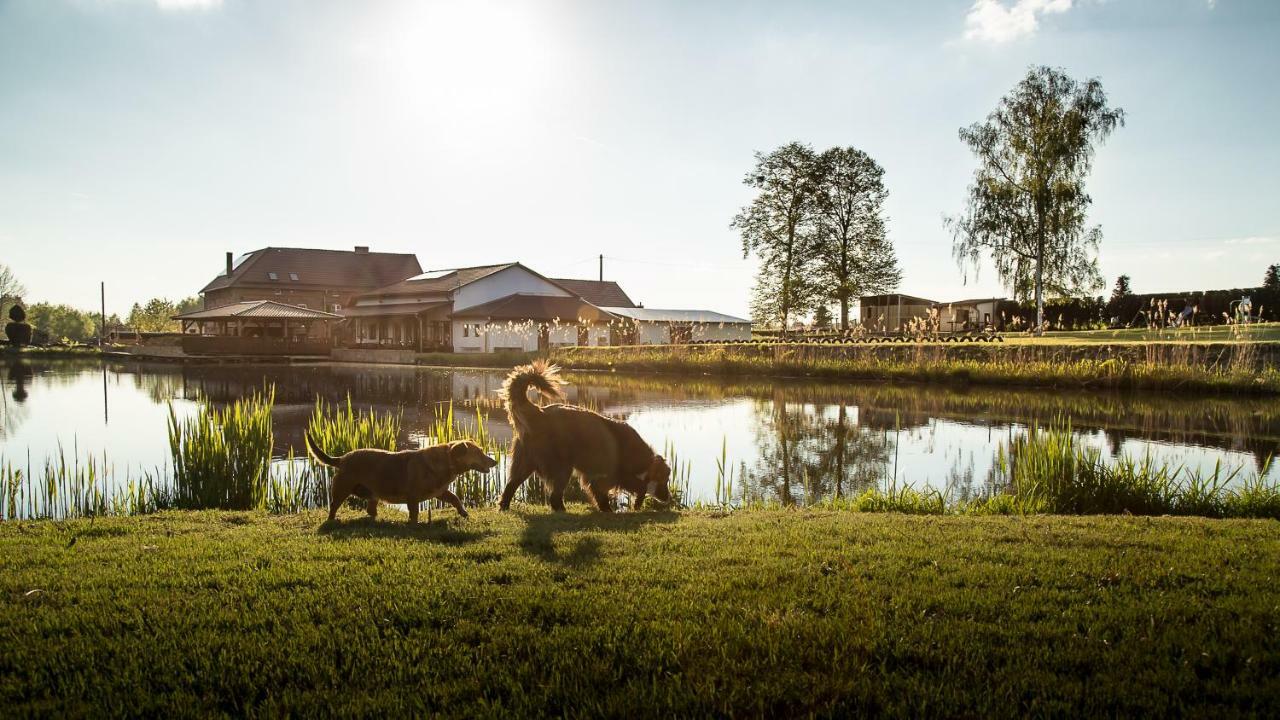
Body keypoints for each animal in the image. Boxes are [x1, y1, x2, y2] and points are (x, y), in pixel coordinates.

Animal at [304, 430, 494, 520]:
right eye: (479, 452)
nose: (494, 461)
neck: (446, 461)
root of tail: (342, 458)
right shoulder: (413, 496)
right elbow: (414, 512)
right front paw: (414, 525)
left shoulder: (440, 491)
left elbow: (455, 498)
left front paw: (464, 513)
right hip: (342, 488)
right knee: (333, 506)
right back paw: (331, 520)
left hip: (373, 493)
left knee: (370, 509)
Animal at [494, 358, 670, 509]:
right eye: (665, 480)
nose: (668, 498)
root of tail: (540, 412)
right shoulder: (607, 476)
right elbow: (634, 489)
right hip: (562, 467)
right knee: (554, 497)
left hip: (524, 463)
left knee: (510, 487)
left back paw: (504, 507)